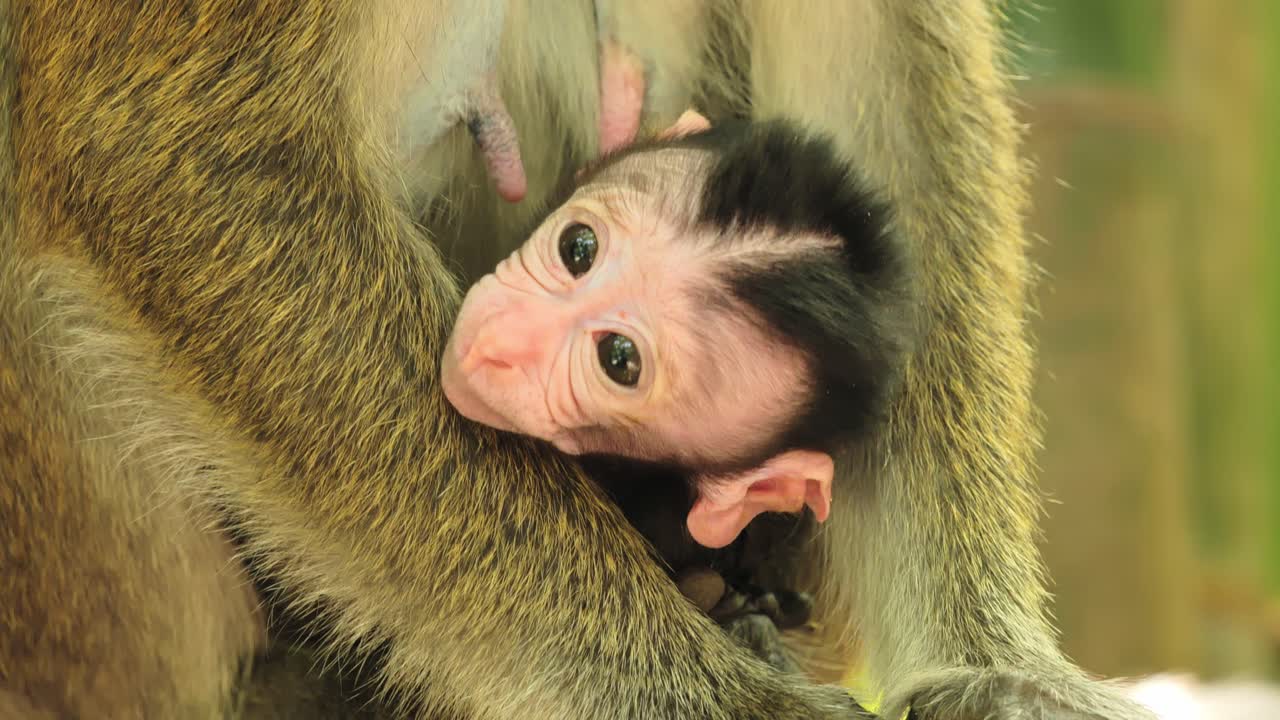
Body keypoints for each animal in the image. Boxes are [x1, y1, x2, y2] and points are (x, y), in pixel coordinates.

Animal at [0, 2, 1159, 720]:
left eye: (619, 360)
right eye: (576, 252)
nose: (509, 340)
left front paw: (994, 667)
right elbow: (157, 138)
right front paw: (718, 702)